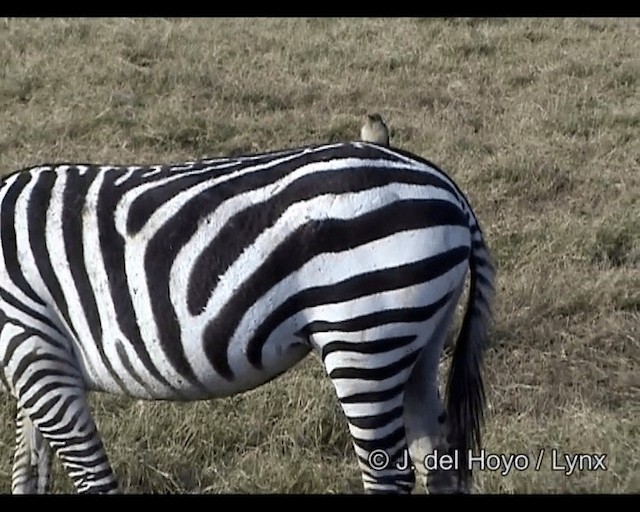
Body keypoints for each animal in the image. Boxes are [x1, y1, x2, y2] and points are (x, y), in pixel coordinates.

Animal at [0, 140, 496, 492]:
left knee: (389, 476)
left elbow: (90, 480)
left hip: (363, 339)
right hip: (416, 340)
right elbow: (29, 473)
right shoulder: (38, 362)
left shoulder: (33, 352)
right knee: (438, 463)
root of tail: (447, 188)